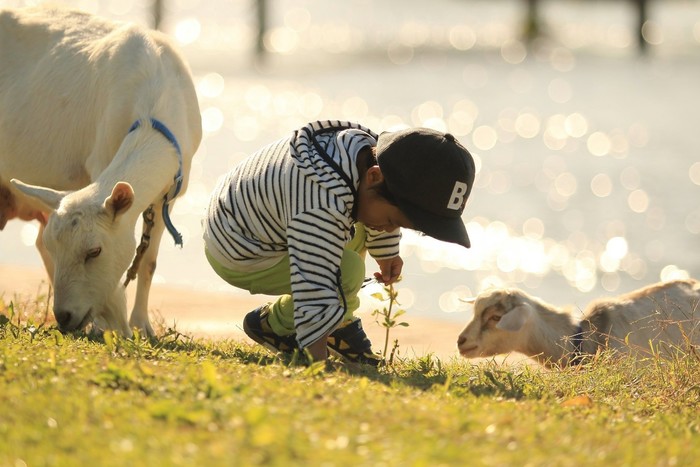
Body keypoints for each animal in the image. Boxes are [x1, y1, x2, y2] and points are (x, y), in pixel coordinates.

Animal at [0, 6, 202, 336]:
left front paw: (142, 326)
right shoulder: (100, 161)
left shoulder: (168, 193)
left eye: (94, 252)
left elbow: (149, 262)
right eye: (57, 248)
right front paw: (107, 326)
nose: (65, 316)